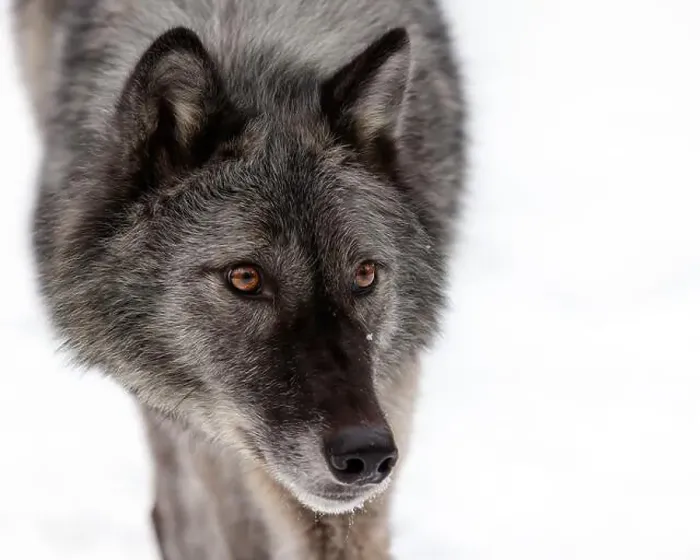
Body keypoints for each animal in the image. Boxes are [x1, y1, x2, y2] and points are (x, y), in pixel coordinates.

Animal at [12, 0, 465, 557]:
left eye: (364, 274)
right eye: (245, 278)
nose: (367, 455)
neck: (256, 62)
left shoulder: (391, 392)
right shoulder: (202, 426)